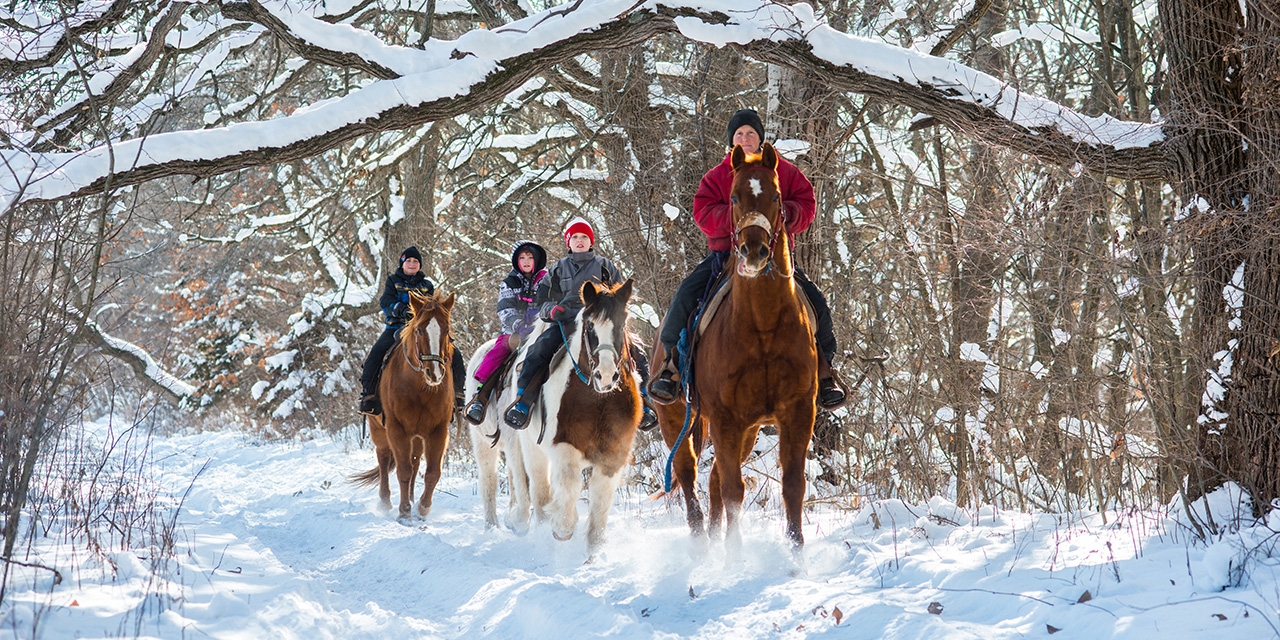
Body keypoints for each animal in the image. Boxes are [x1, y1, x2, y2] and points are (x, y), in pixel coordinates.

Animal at [352, 291, 457, 520]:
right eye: (419, 330)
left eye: (446, 330)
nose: (434, 373)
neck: (419, 388)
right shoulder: (396, 429)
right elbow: (403, 470)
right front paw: (404, 512)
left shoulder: (437, 431)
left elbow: (432, 472)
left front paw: (421, 509)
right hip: (378, 428)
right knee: (383, 459)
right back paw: (385, 502)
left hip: (416, 435)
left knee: (415, 461)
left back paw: (410, 498)